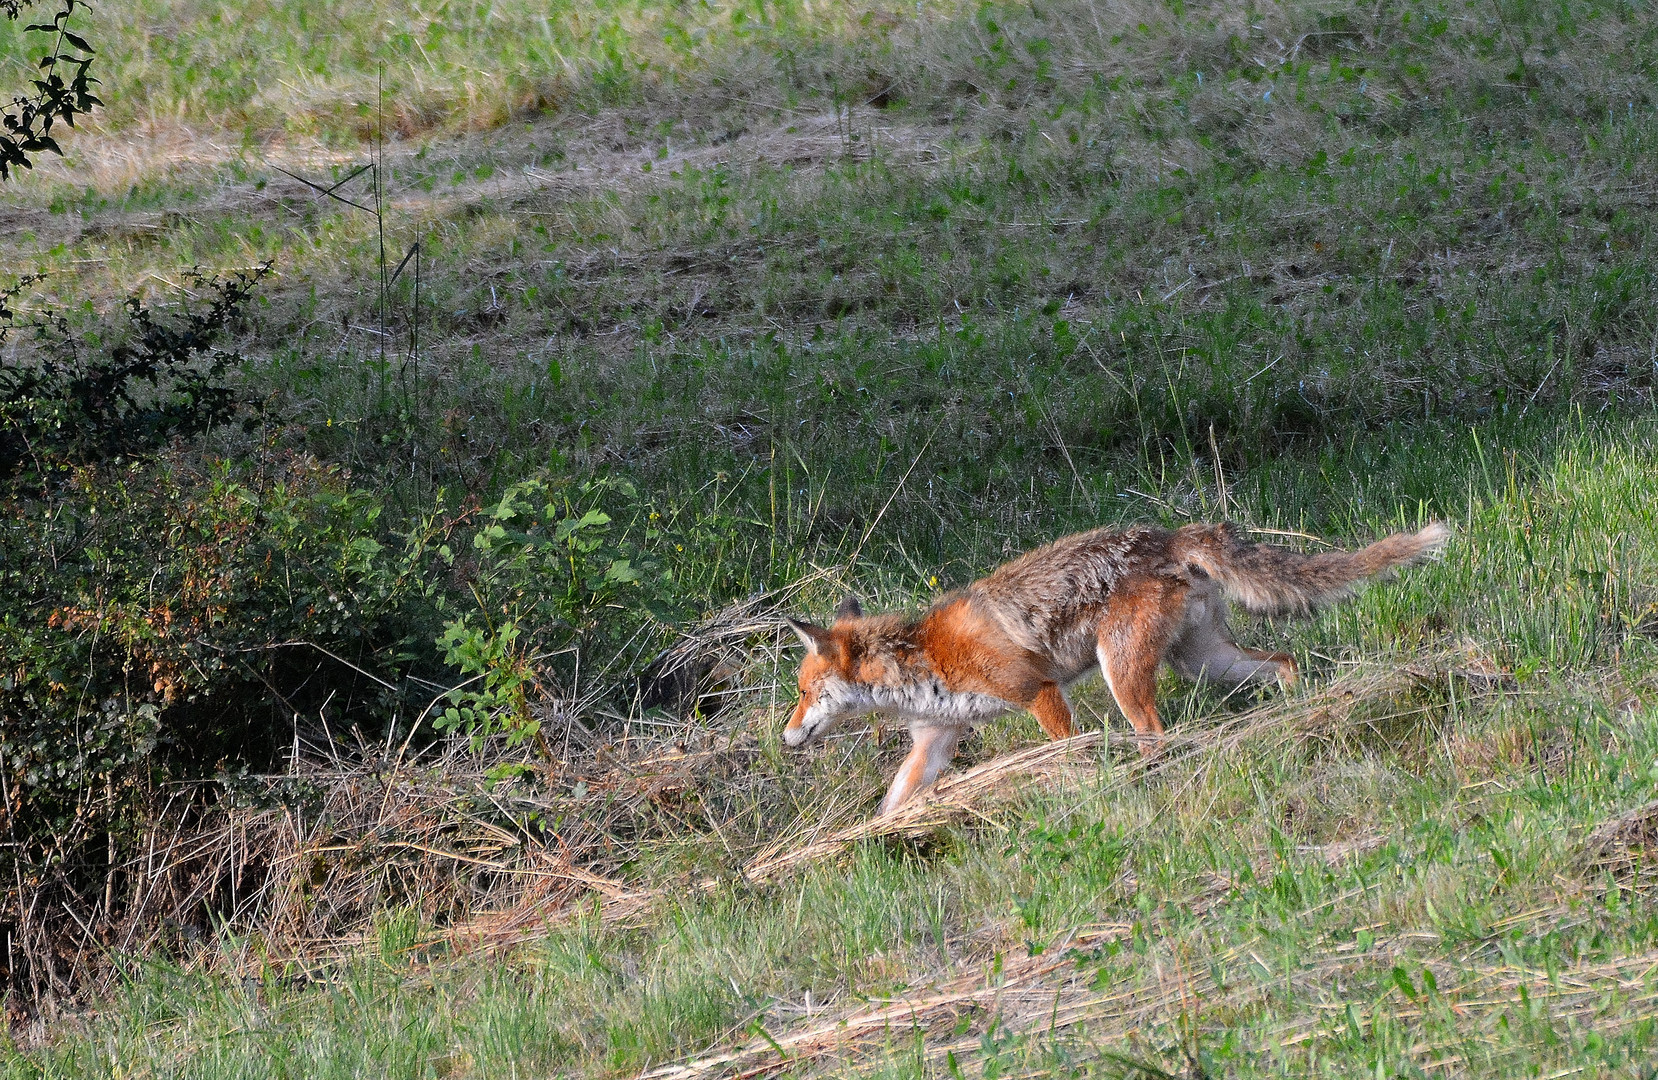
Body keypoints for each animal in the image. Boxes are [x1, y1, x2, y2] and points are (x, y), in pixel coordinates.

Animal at [782, 520, 1445, 816]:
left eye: (805, 692)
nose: (784, 737)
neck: (918, 660)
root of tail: (1170, 534)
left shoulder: (1039, 692)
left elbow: (1066, 748)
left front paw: (1074, 787)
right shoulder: (934, 740)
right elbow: (893, 801)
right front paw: (869, 843)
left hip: (1122, 674)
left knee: (1155, 733)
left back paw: (1146, 779)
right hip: (1205, 662)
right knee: (1282, 661)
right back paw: (1304, 717)